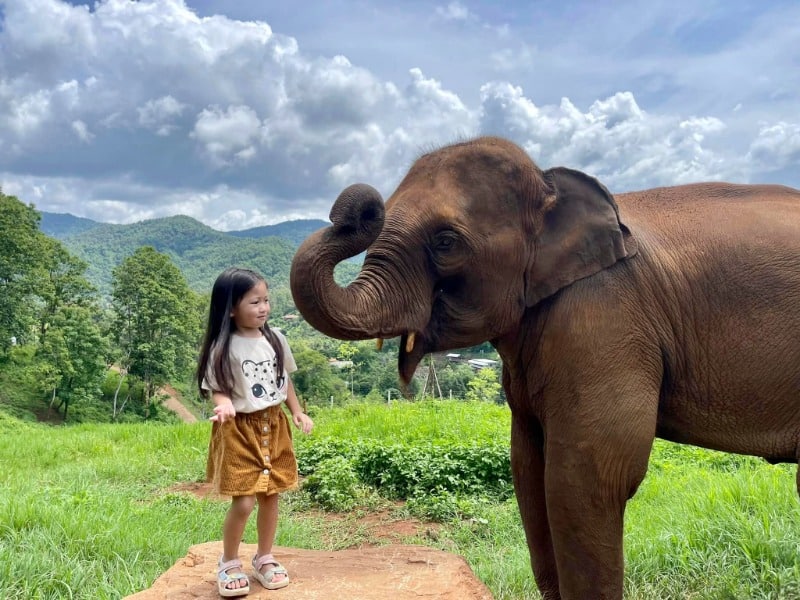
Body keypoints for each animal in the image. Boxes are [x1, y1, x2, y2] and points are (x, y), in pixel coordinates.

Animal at [289, 136, 800, 599]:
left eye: (446, 242)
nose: (359, 207)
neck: (551, 185)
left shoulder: (604, 317)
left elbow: (588, 477)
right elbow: (528, 469)